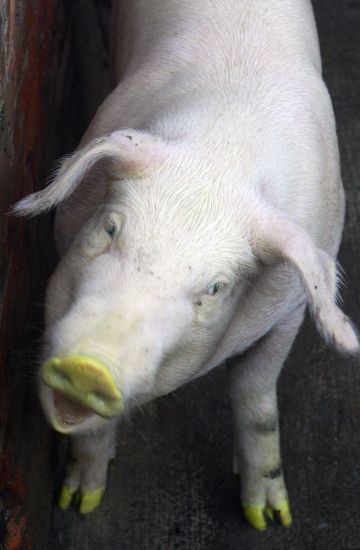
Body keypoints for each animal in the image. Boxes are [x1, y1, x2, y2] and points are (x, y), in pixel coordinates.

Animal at [13, 0, 358, 536]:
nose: (89, 367)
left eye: (215, 287)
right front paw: (80, 502)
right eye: (110, 229)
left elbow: (256, 398)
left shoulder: (290, 313)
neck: (224, 153)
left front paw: (268, 519)